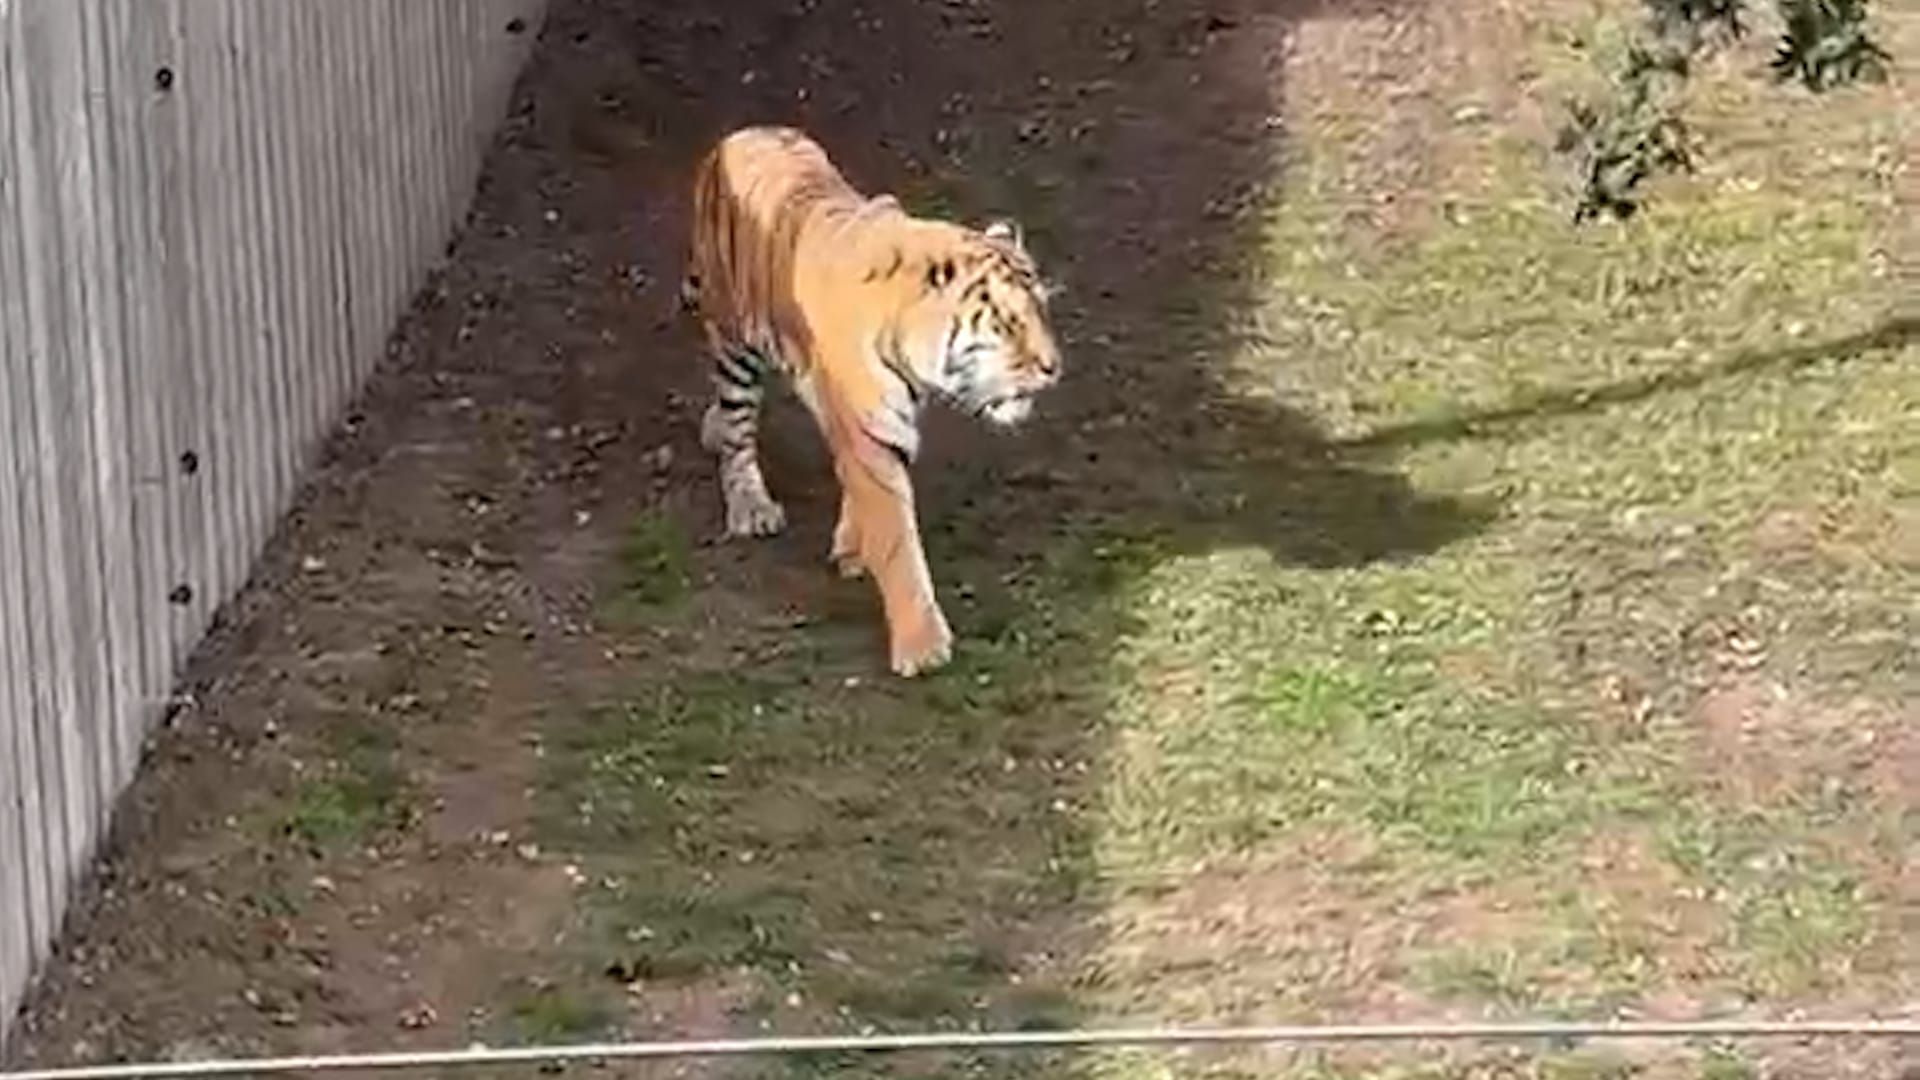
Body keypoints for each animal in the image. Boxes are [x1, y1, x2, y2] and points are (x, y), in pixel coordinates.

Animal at [680, 125, 1063, 677]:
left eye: (1042, 312)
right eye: (1008, 324)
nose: (1055, 367)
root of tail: (736, 136)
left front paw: (852, 547)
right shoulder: (872, 432)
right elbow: (898, 541)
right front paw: (922, 649)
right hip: (735, 342)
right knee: (737, 429)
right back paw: (751, 505)